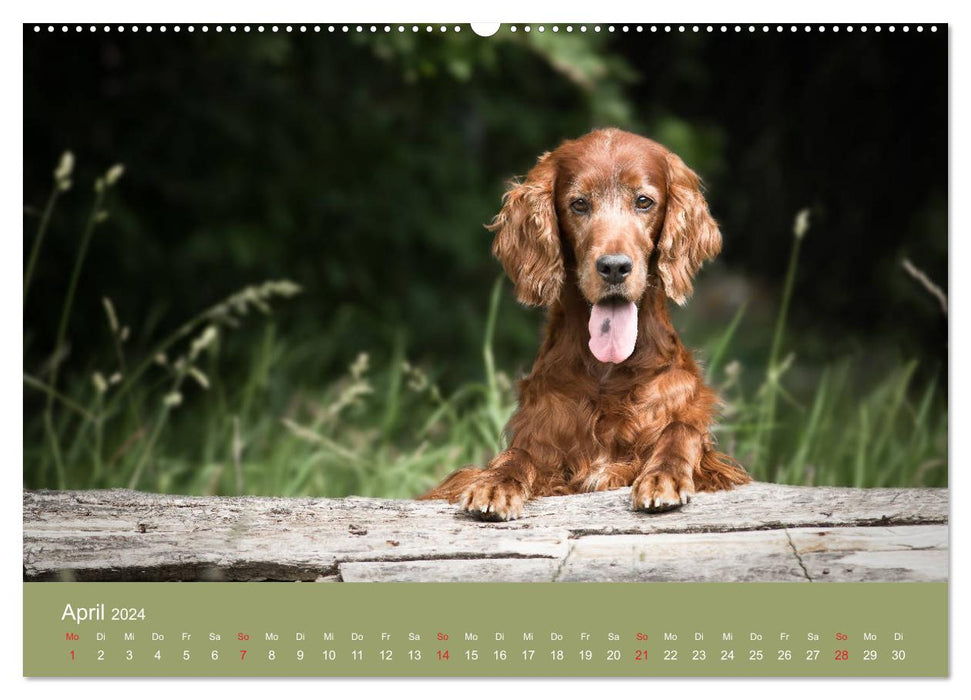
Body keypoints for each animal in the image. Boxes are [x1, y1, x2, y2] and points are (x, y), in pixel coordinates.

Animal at [420, 127, 752, 520]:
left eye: (643, 201)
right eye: (579, 204)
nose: (614, 267)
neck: (608, 370)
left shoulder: (695, 433)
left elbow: (679, 432)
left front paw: (662, 476)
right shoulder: (542, 438)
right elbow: (516, 455)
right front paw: (495, 483)